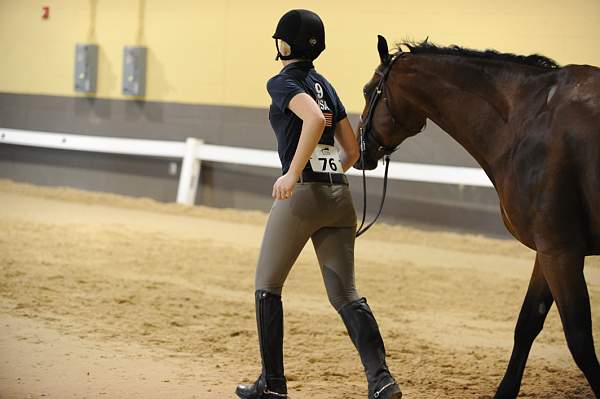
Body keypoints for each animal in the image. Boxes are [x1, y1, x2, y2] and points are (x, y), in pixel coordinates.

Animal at [356, 36, 600, 398]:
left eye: (367, 90)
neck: (526, 119)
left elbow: (580, 340)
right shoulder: (549, 252)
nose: (360, 152)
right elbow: (528, 323)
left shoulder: (560, 251)